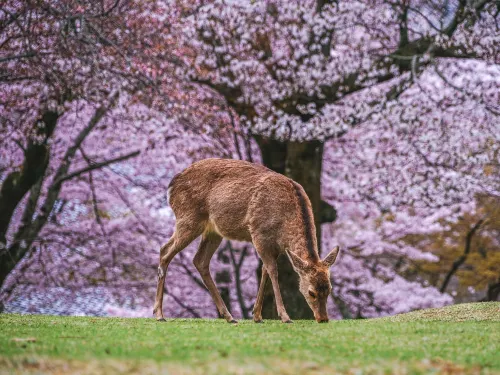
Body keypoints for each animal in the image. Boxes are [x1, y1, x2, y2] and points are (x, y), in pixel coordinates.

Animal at [152, 157, 340, 324]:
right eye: (311, 292)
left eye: (329, 289)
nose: (323, 319)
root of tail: (171, 186)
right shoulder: (258, 233)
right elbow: (273, 271)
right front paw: (285, 317)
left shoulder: (276, 246)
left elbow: (265, 270)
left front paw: (257, 316)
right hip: (188, 218)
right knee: (165, 251)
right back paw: (159, 314)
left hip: (213, 231)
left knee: (199, 260)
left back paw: (229, 316)